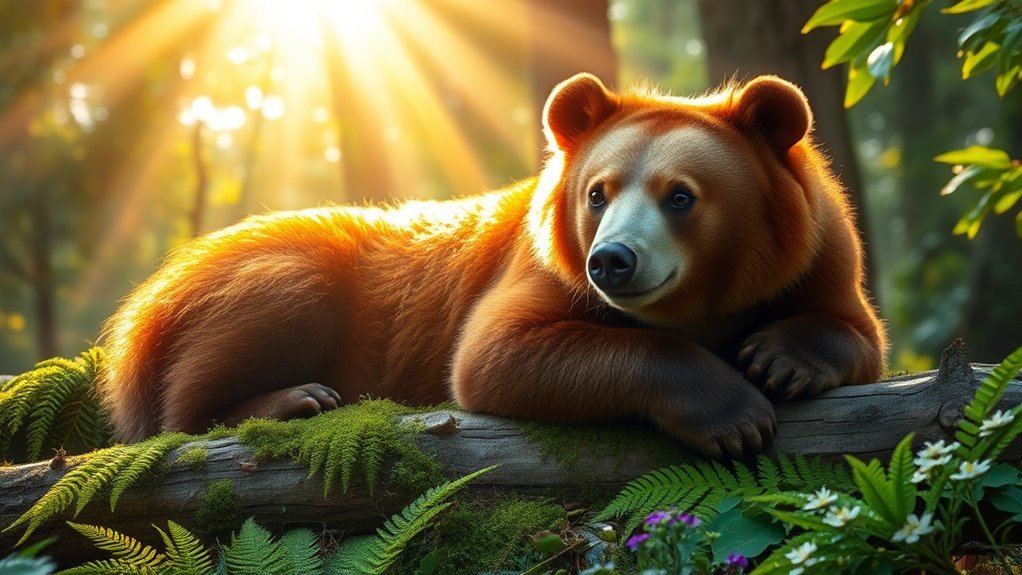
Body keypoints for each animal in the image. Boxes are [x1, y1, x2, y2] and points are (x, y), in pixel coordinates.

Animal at [99, 73, 886, 459]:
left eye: (681, 195)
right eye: (598, 193)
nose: (612, 262)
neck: (704, 297)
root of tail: (146, 306)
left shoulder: (819, 252)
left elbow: (856, 330)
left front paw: (779, 357)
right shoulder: (542, 264)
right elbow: (497, 354)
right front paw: (734, 415)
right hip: (256, 285)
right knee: (197, 390)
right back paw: (295, 398)